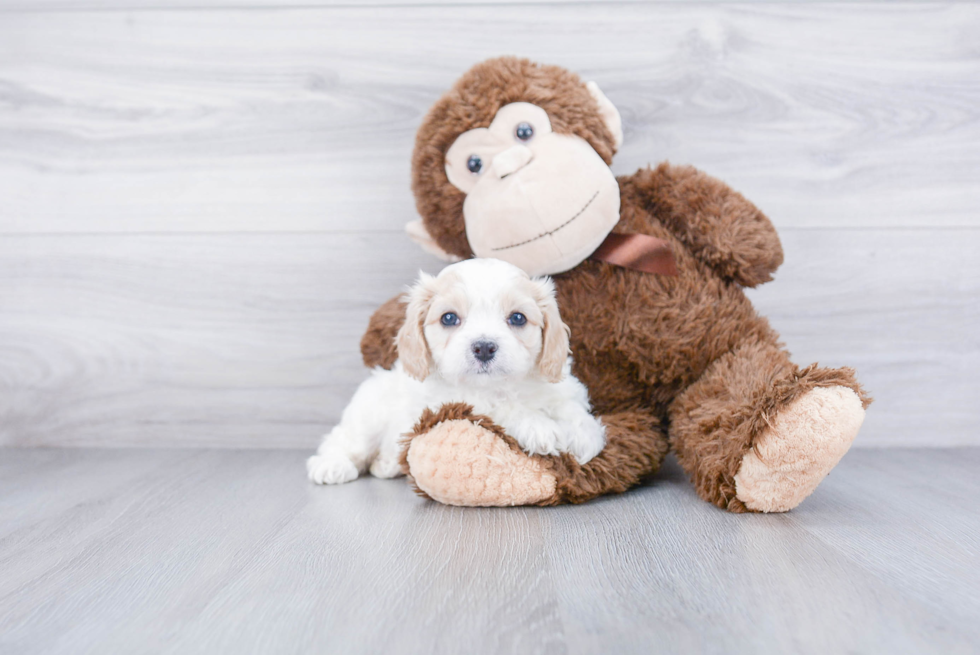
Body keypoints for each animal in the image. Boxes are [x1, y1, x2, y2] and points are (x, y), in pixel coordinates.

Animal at [310, 258, 608, 484]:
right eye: (449, 318)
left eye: (517, 318)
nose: (484, 347)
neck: (504, 386)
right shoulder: (454, 403)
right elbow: (500, 409)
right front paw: (538, 426)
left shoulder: (559, 386)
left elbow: (571, 407)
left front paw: (585, 435)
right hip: (366, 420)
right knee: (342, 442)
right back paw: (331, 465)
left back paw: (387, 465)